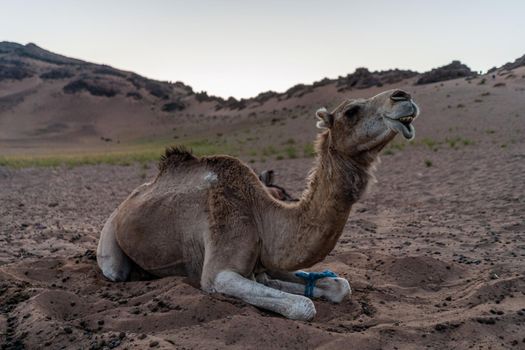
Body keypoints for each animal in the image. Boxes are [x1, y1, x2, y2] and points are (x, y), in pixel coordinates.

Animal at [96, 89, 420, 320]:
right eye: (351, 111)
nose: (403, 96)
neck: (262, 213)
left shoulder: (265, 262)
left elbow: (340, 286)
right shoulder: (217, 272)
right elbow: (303, 306)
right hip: (110, 244)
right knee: (115, 270)